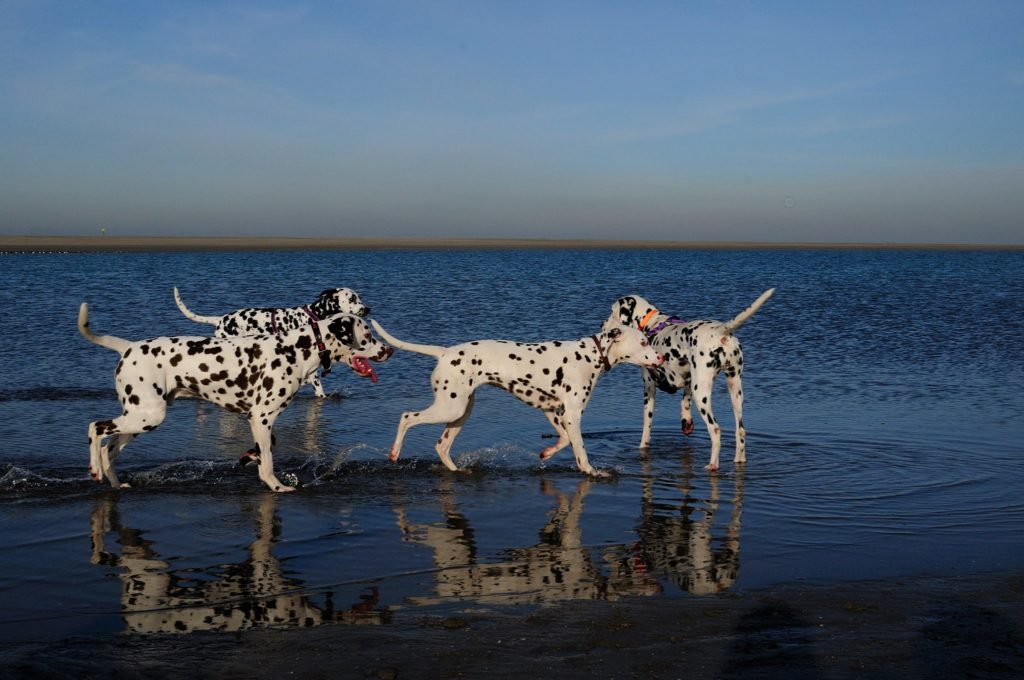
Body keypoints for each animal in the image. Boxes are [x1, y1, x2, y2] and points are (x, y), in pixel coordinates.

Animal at [77, 301, 391, 489]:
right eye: (368, 336)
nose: (389, 350)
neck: (298, 348)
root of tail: (128, 346)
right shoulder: (262, 417)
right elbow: (268, 463)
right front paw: (277, 486)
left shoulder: (260, 421)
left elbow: (265, 449)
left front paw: (250, 458)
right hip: (147, 416)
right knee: (95, 428)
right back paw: (94, 469)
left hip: (139, 420)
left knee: (108, 449)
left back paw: (114, 483)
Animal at [368, 319, 663, 475]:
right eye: (643, 342)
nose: (660, 358)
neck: (589, 355)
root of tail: (444, 352)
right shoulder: (572, 415)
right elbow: (579, 448)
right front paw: (591, 472)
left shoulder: (553, 412)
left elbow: (564, 440)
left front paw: (546, 453)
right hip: (449, 408)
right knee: (407, 417)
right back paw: (394, 452)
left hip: (460, 412)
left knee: (441, 446)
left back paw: (456, 471)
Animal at [598, 288, 774, 473]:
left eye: (612, 311)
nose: (601, 324)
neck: (653, 324)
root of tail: (721, 331)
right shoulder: (689, 381)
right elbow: (684, 401)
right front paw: (686, 422)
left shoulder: (649, 388)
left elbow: (647, 426)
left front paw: (643, 445)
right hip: (734, 389)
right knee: (740, 431)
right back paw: (739, 460)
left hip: (701, 395)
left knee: (715, 429)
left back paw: (713, 464)